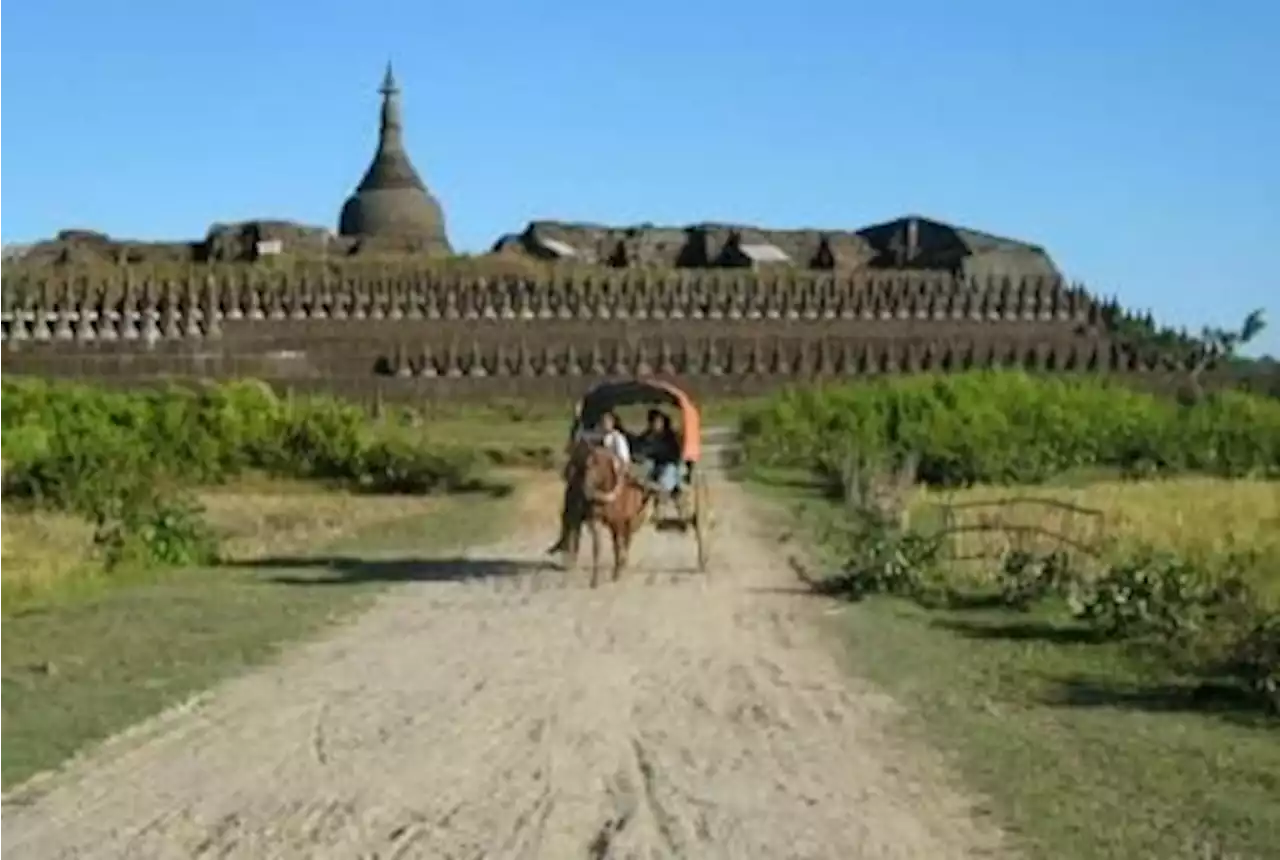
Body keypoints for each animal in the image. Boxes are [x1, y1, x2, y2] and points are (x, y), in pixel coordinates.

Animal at [568, 447, 655, 588]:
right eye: (586, 465)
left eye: (598, 464)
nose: (586, 489)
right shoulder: (596, 521)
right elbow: (597, 548)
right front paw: (594, 580)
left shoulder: (618, 523)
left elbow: (617, 546)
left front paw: (617, 573)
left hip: (630, 522)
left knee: (627, 541)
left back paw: (623, 563)